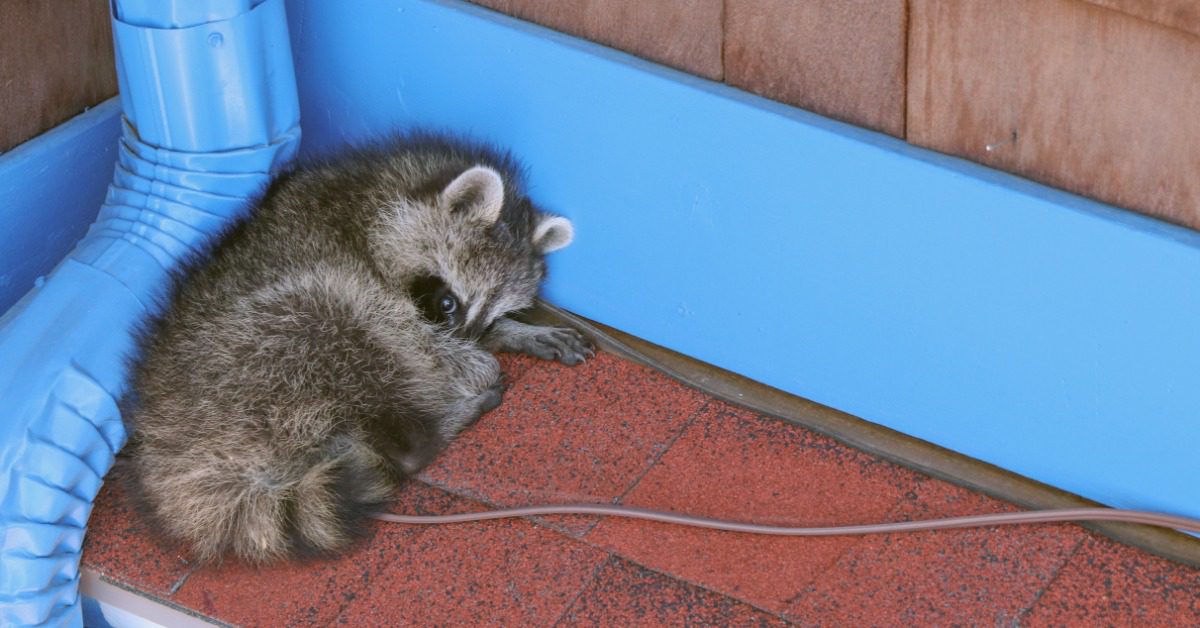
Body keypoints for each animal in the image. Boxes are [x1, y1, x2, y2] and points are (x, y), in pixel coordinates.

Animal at [120, 133, 591, 564]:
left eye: (489, 318)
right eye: (448, 302)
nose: (472, 343)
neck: (374, 200)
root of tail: (169, 451)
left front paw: (516, 333)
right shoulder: (354, 273)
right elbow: (414, 339)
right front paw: (478, 365)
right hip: (273, 344)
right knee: (359, 345)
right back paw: (439, 425)